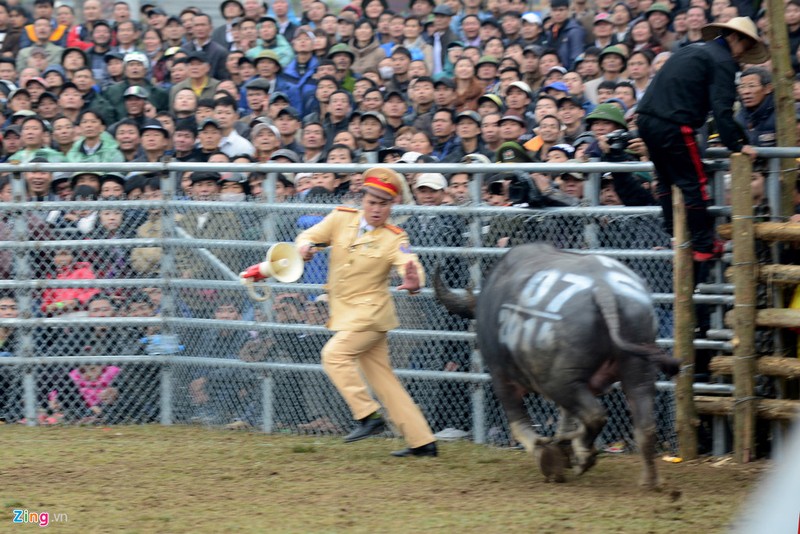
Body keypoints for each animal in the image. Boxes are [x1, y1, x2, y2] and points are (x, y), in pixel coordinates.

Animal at [438, 244, 676, 490]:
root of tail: (604, 289)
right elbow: (567, 416)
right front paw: (562, 448)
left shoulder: (500, 375)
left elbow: (519, 422)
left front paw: (549, 456)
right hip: (637, 367)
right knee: (644, 422)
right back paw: (648, 480)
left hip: (558, 380)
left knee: (595, 415)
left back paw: (582, 454)